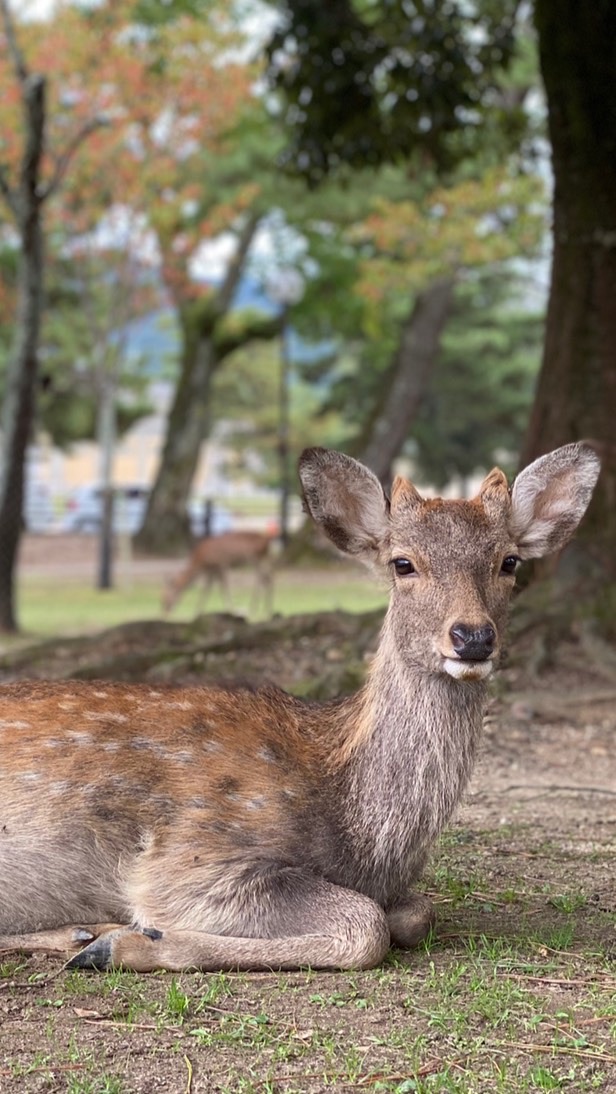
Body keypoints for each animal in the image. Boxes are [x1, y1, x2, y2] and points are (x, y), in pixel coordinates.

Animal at [0, 439, 599, 971]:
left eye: (510, 562)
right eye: (402, 563)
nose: (473, 637)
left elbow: (416, 913)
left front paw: (112, 938)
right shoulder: (190, 857)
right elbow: (367, 926)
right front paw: (130, 941)